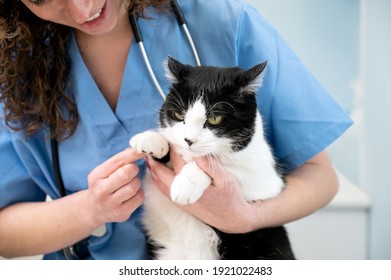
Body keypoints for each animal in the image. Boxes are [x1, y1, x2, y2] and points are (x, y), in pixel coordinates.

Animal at [130, 57, 296, 260]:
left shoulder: (265, 181)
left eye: (215, 119)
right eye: (179, 115)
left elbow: (222, 166)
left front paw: (187, 182)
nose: (189, 140)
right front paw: (151, 139)